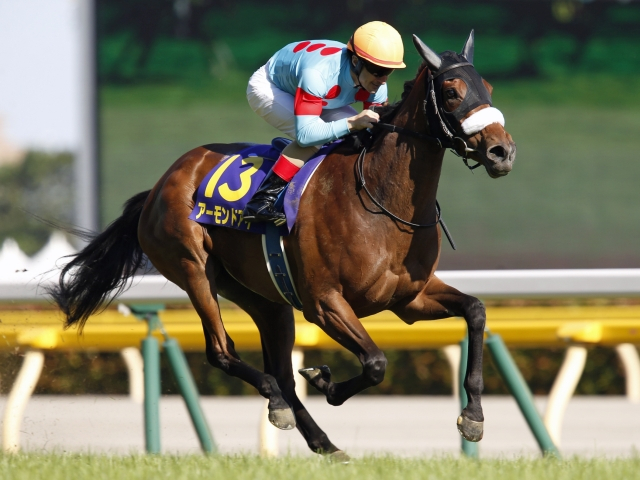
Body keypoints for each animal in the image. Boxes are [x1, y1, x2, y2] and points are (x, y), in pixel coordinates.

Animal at [50, 32, 515, 460]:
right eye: (452, 92)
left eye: (489, 88)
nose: (502, 151)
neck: (381, 201)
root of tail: (159, 185)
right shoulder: (325, 304)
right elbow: (375, 363)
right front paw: (327, 382)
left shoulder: (409, 299)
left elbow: (475, 311)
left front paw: (473, 416)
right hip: (193, 269)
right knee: (223, 352)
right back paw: (277, 402)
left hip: (263, 297)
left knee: (282, 374)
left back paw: (322, 441)